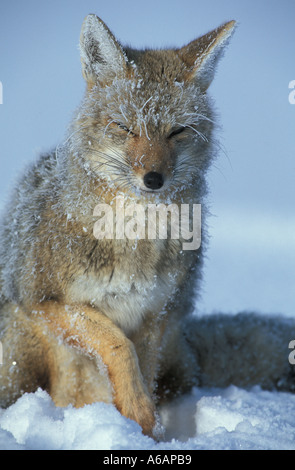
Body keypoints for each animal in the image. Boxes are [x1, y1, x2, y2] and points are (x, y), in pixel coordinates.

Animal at [0, 15, 295, 440]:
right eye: (125, 128)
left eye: (177, 131)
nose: (153, 179)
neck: (135, 240)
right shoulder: (44, 301)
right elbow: (118, 346)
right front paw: (135, 419)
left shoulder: (157, 314)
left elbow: (143, 369)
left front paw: (146, 429)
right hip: (18, 356)